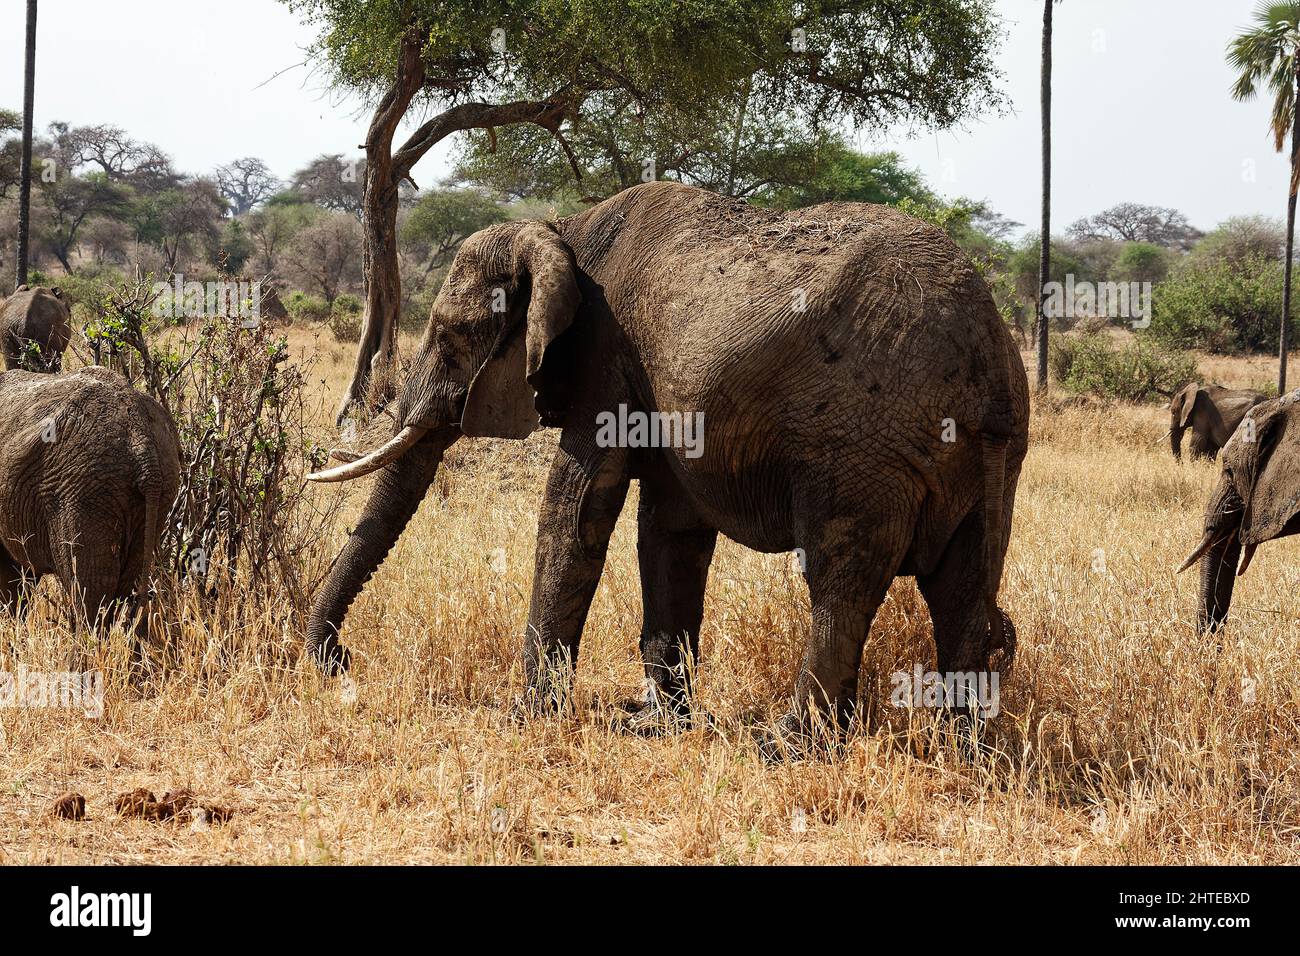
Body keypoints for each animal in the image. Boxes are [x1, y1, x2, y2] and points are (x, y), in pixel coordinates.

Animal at [301, 180, 1024, 749]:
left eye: (451, 337)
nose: (341, 663)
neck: (561, 231)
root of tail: (989, 362)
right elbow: (668, 531)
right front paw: (657, 724)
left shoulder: (604, 358)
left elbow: (576, 505)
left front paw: (528, 717)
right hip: (982, 464)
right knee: (960, 590)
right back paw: (961, 749)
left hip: (864, 445)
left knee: (839, 580)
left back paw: (787, 748)